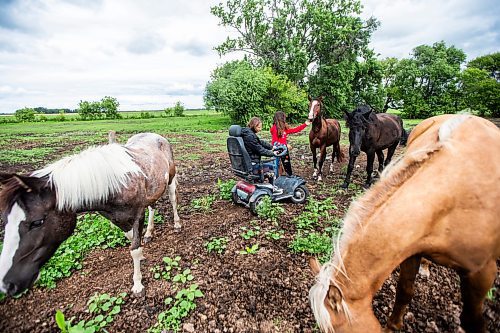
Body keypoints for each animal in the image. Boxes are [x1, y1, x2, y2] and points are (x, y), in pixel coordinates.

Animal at [0, 132, 180, 296]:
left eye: (37, 222)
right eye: (5, 220)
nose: (8, 284)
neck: (117, 184)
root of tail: (156, 135)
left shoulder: (137, 214)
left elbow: (134, 248)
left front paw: (138, 285)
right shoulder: (116, 218)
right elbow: (131, 238)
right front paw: (142, 253)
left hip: (170, 178)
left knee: (172, 199)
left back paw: (177, 224)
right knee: (152, 207)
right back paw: (149, 232)